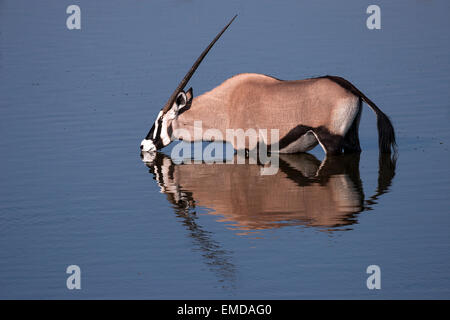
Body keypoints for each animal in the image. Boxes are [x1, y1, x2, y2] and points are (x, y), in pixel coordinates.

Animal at [141, 16, 398, 156]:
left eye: (160, 121)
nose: (144, 145)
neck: (225, 106)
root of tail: (350, 87)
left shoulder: (245, 148)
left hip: (331, 140)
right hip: (350, 137)